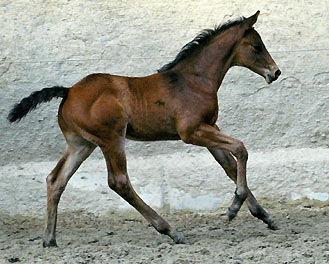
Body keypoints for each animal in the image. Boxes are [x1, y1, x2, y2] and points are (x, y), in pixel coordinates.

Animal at [7, 11, 280, 248]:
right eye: (257, 46)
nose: (275, 72)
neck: (194, 80)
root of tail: (68, 91)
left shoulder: (209, 127)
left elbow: (229, 165)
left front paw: (263, 215)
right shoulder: (192, 132)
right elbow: (241, 149)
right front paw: (234, 207)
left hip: (81, 144)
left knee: (56, 180)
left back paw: (49, 239)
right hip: (111, 138)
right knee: (118, 182)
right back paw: (170, 230)